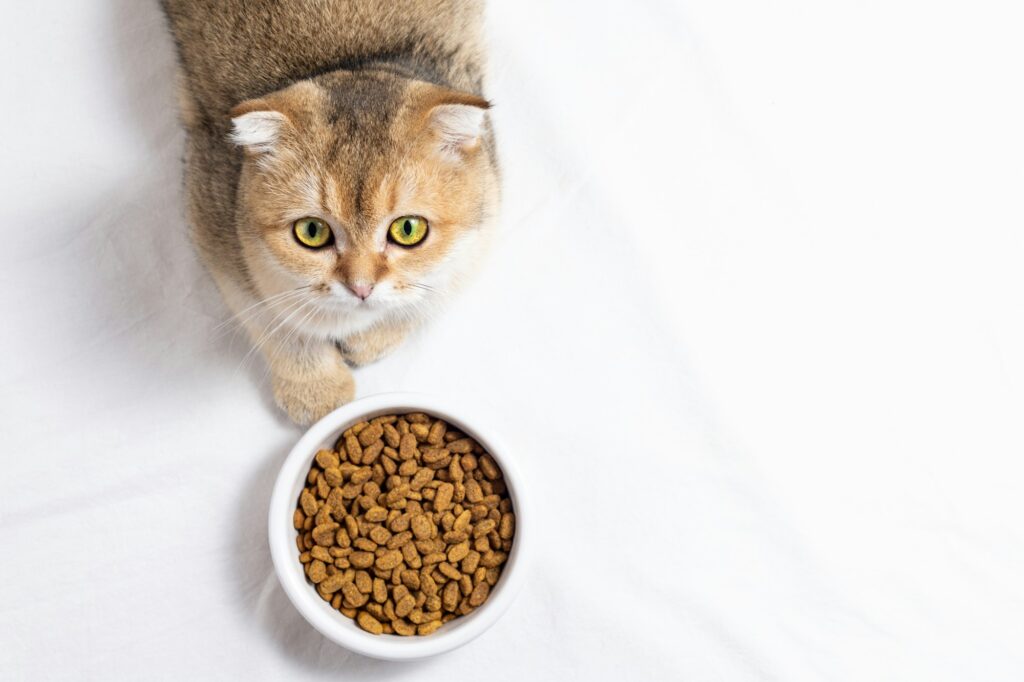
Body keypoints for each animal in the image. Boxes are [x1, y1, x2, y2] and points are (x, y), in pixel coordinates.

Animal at [157, 0, 501, 421]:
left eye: (408, 229)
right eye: (312, 232)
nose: (361, 288)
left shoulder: (487, 214)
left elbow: (430, 295)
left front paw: (372, 337)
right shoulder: (210, 222)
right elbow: (271, 317)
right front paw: (315, 387)